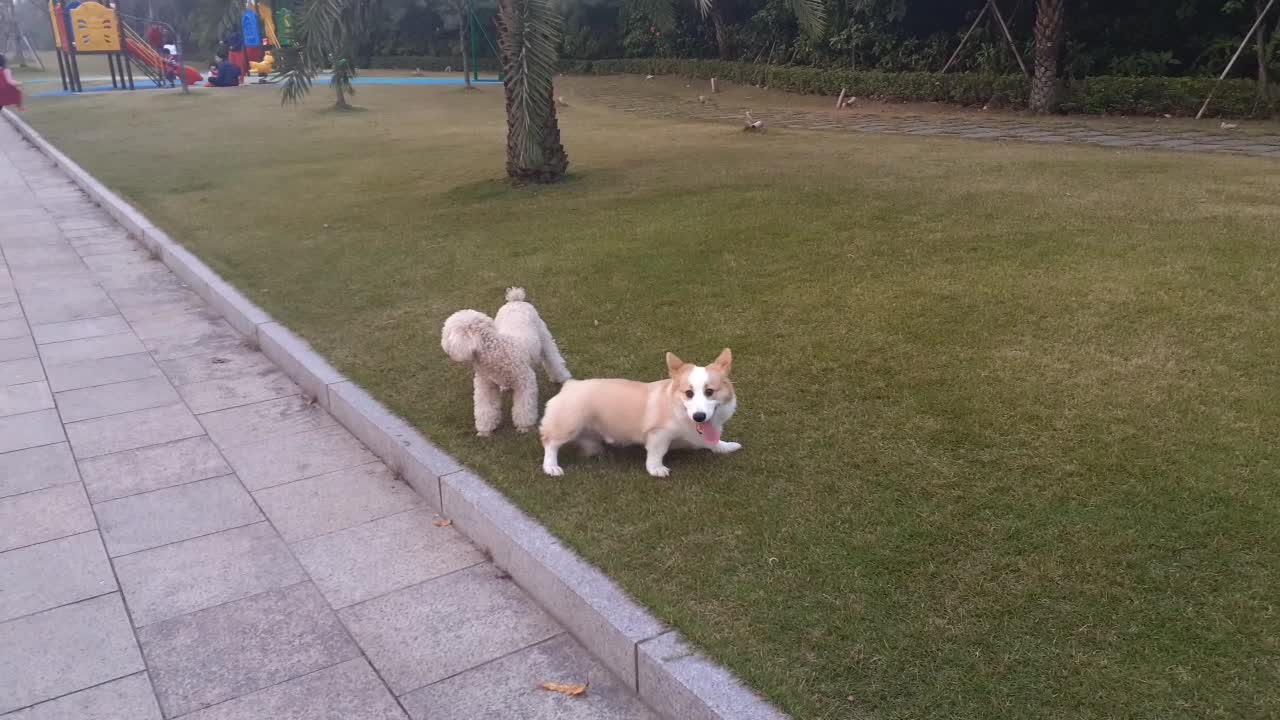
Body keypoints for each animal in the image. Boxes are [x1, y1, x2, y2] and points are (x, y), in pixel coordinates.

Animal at [540, 348, 742, 476]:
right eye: (689, 393)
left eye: (709, 391)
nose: (699, 417)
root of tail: (569, 385)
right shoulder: (658, 434)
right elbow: (657, 453)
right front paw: (656, 469)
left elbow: (714, 442)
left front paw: (726, 446)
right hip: (568, 425)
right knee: (550, 442)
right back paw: (551, 467)